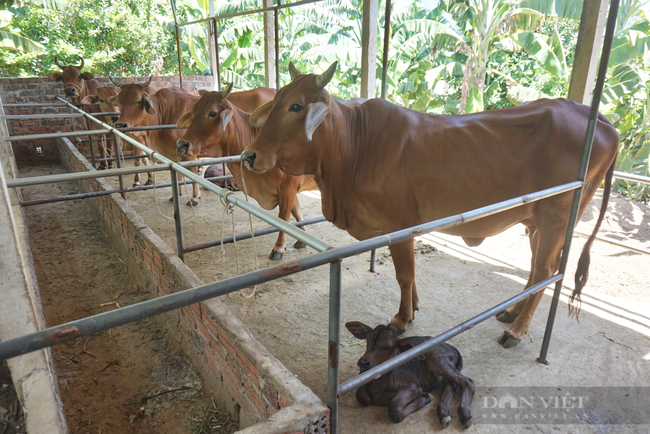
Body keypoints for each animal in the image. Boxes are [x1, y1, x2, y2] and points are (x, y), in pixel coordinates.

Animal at [240, 61, 616, 348]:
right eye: (277, 101)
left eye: (297, 106)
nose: (250, 155)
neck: (355, 146)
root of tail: (599, 119)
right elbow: (411, 276)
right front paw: (414, 308)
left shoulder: (399, 224)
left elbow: (404, 274)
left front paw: (402, 318)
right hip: (538, 221)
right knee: (540, 269)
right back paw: (511, 312)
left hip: (556, 219)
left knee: (545, 270)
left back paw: (516, 330)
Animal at [346, 320, 474, 428]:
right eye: (368, 341)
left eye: (387, 347)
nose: (363, 362)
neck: (379, 386)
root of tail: (449, 345)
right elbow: (362, 396)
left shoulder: (413, 386)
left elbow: (394, 408)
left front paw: (424, 397)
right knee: (450, 386)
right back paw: (444, 415)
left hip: (439, 361)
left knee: (468, 382)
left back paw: (465, 415)